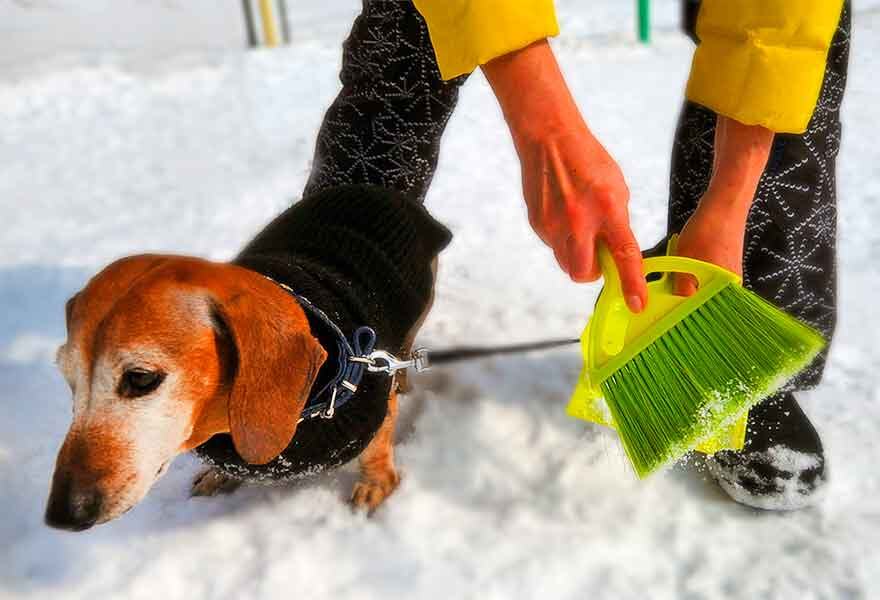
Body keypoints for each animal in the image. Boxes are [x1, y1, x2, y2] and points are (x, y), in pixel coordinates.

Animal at [44, 185, 450, 532]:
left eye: (141, 378)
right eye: (68, 380)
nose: (61, 515)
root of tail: (369, 187)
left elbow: (375, 451)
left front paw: (375, 486)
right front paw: (220, 475)